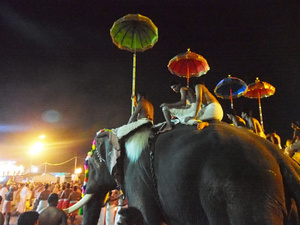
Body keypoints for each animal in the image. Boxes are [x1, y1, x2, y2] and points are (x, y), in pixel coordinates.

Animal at [67, 121, 300, 225]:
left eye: (89, 165)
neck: (122, 131)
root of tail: (277, 153)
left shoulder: (137, 179)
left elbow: (148, 217)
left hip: (244, 196)